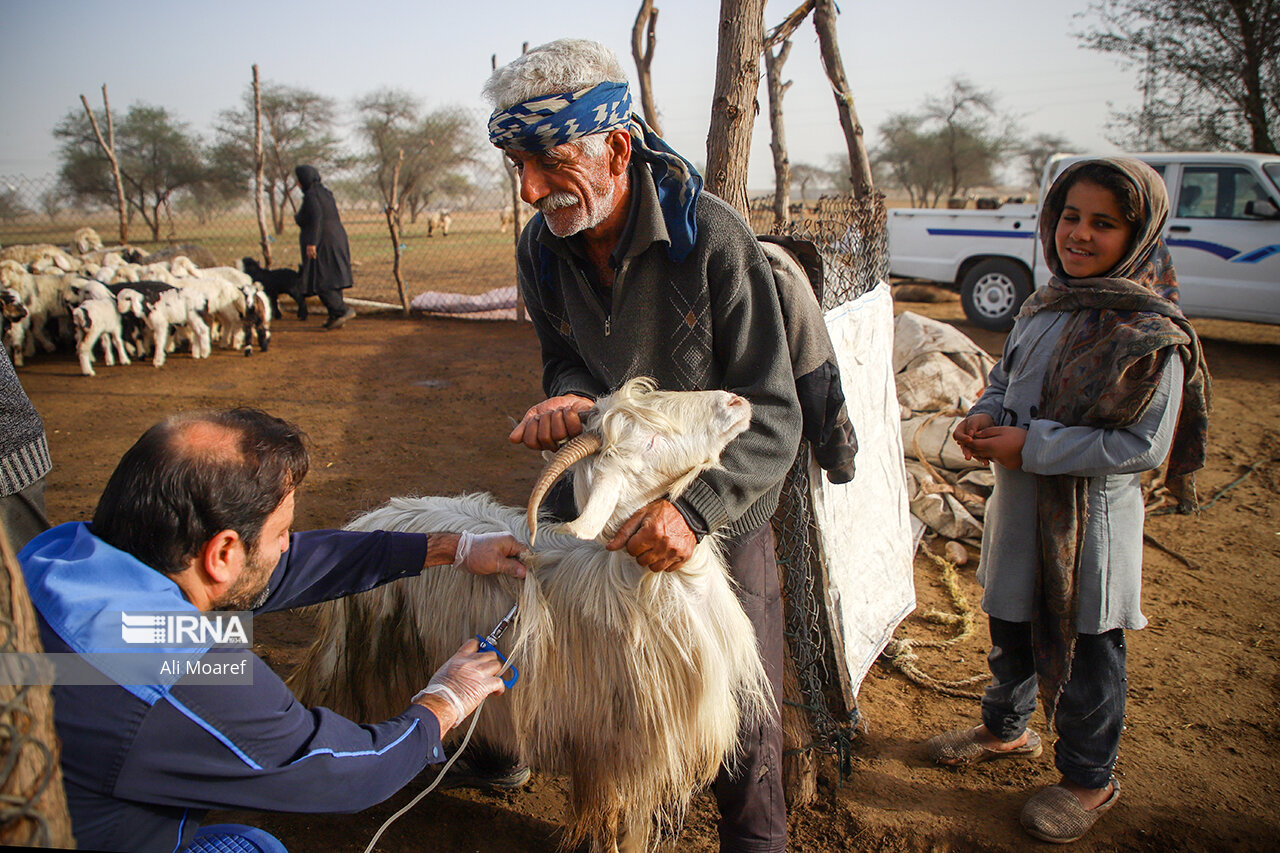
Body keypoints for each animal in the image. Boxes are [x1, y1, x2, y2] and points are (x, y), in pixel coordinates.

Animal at [290, 376, 768, 850]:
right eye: (651, 441)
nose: (737, 402)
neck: (637, 587)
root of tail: (367, 520)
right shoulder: (613, 751)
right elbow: (614, 829)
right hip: (352, 658)